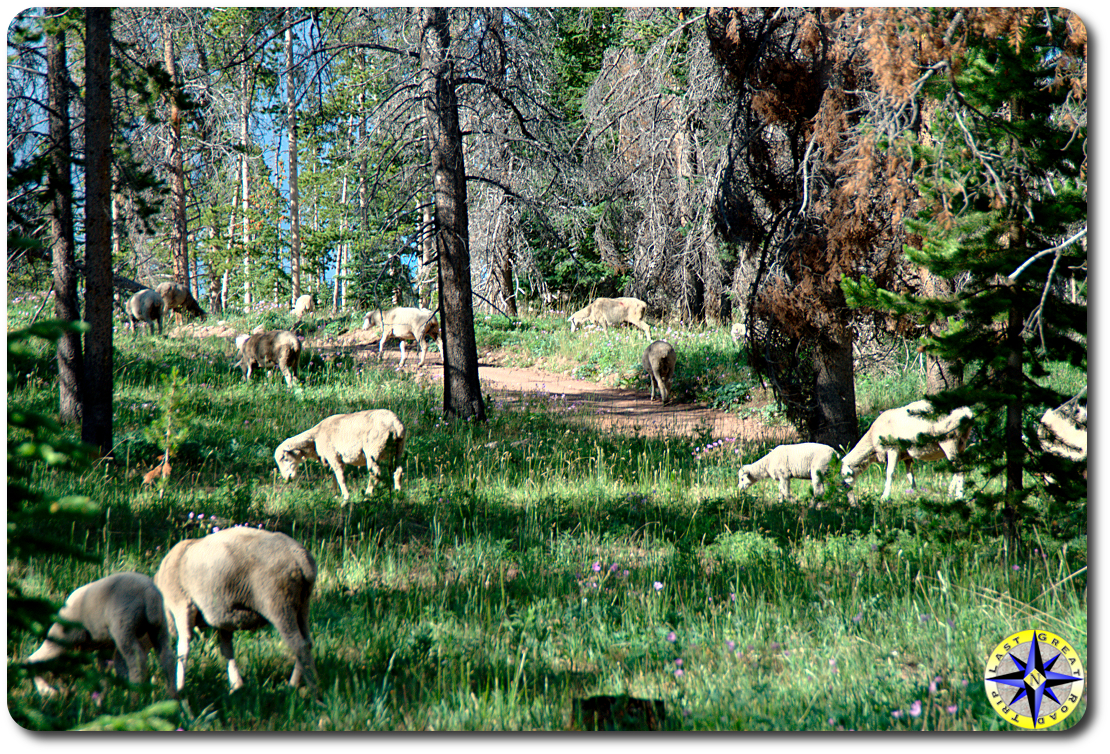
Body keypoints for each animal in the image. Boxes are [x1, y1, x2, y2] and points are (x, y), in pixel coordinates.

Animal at [25, 572, 176, 698]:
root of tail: (148, 592)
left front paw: (48, 691)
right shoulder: (105, 646)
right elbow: (108, 672)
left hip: (123, 626)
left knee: (136, 660)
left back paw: (134, 698)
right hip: (158, 626)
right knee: (167, 657)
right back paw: (172, 698)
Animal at [153, 527, 318, 695]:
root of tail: (299, 556)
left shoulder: (182, 604)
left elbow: (183, 648)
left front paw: (179, 687)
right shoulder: (223, 618)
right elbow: (227, 650)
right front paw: (236, 686)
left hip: (278, 602)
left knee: (299, 645)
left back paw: (307, 689)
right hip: (302, 603)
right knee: (307, 642)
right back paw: (303, 683)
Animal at [274, 409, 405, 504]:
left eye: (284, 458)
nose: (287, 478)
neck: (315, 438)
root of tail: (395, 423)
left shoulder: (333, 455)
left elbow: (340, 477)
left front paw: (345, 497)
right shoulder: (335, 459)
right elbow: (334, 477)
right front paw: (335, 495)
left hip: (373, 451)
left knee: (375, 474)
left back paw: (367, 496)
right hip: (397, 450)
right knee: (398, 471)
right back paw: (398, 494)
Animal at [841, 400, 974, 501]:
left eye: (842, 473)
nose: (843, 487)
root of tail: (967, 412)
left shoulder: (893, 448)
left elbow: (890, 472)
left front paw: (885, 496)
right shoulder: (906, 455)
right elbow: (910, 474)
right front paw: (915, 492)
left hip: (949, 439)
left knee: (959, 467)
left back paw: (959, 495)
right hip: (962, 443)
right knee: (958, 467)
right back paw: (950, 492)